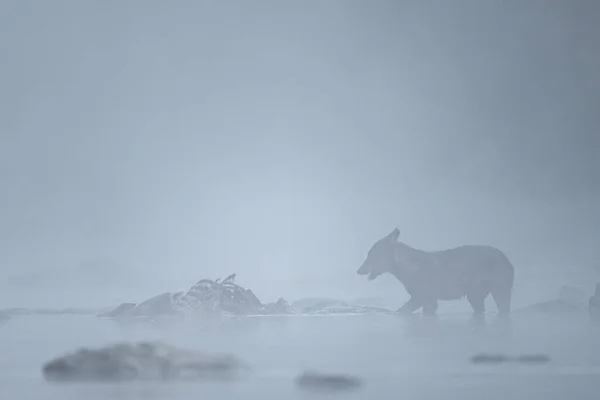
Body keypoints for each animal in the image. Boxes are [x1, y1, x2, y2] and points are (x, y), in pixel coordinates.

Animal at [356, 228, 516, 316]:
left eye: (371, 255)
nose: (358, 270)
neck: (405, 271)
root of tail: (509, 263)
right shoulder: (426, 298)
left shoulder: (424, 296)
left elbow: (403, 310)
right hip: (475, 293)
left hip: (497, 287)